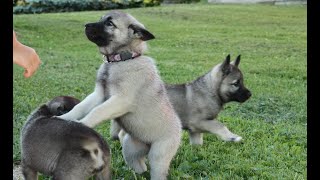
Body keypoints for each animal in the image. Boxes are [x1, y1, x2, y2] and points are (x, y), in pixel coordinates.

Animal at [57, 10, 181, 179]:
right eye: (101, 19)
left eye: (110, 23)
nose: (86, 25)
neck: (120, 60)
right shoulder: (99, 94)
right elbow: (80, 107)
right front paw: (64, 118)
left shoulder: (120, 100)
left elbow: (97, 111)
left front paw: (82, 123)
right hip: (131, 147)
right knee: (140, 165)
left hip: (159, 155)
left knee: (157, 170)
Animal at [111, 54, 251, 145]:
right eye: (236, 83)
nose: (250, 94)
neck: (211, 90)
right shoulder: (199, 121)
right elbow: (220, 125)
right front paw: (232, 137)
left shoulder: (195, 130)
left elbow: (197, 142)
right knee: (123, 134)